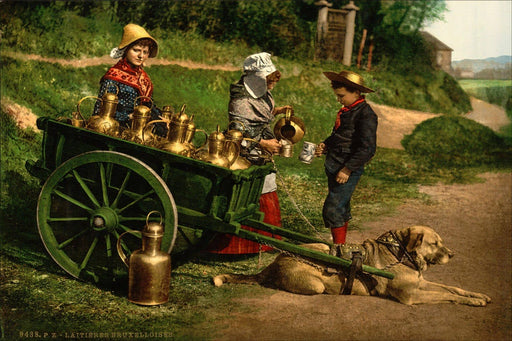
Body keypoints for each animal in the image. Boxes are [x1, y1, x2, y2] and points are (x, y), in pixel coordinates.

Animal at [213, 224, 492, 306]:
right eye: (435, 243)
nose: (452, 255)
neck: (400, 252)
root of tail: (272, 264)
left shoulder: (421, 284)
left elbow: (452, 288)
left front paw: (478, 295)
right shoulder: (412, 296)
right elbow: (444, 294)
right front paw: (472, 302)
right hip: (314, 281)